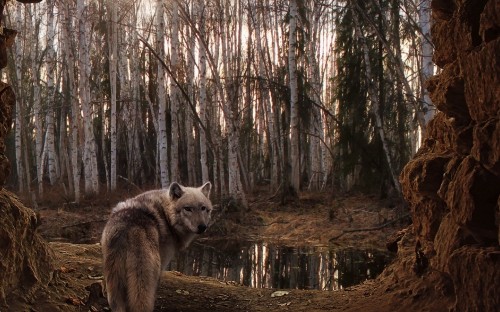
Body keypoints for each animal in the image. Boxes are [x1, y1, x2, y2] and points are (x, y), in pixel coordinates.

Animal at [100, 182, 212, 310]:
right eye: (188, 208)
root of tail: (129, 227)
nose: (202, 227)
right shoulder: (163, 263)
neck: (166, 216)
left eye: (203, 208)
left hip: (114, 282)